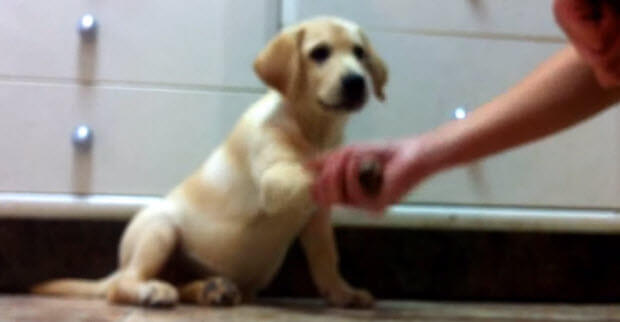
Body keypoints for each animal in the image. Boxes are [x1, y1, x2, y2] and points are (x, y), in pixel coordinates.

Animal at [32, 16, 388, 308]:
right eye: (319, 53)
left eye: (359, 53)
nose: (356, 82)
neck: (314, 130)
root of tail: (119, 267)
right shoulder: (273, 180)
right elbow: (308, 170)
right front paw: (353, 167)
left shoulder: (315, 220)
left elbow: (327, 260)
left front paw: (342, 293)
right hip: (160, 229)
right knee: (121, 286)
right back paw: (154, 291)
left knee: (178, 286)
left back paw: (210, 290)